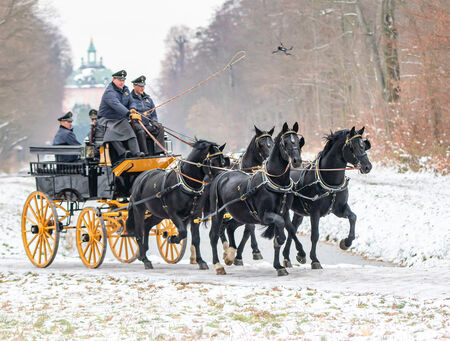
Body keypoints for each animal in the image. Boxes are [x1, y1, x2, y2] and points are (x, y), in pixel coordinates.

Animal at [125, 139, 227, 268]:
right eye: (213, 162)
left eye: (223, 161)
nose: (221, 178)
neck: (187, 184)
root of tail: (140, 178)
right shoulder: (173, 213)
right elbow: (183, 232)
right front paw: (172, 238)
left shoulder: (196, 215)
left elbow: (196, 239)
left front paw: (200, 261)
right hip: (139, 209)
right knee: (139, 233)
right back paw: (145, 259)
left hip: (158, 213)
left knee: (146, 225)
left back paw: (143, 252)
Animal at [209, 123, 304, 276]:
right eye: (285, 143)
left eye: (298, 141)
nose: (297, 161)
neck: (276, 182)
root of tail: (220, 174)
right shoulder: (265, 215)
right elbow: (279, 232)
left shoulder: (284, 213)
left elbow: (290, 230)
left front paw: (285, 262)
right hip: (218, 213)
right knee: (214, 236)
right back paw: (218, 265)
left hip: (240, 214)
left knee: (229, 227)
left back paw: (230, 253)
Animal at [282, 125, 372, 268]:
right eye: (352, 147)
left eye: (363, 145)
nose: (367, 166)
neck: (330, 181)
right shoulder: (315, 212)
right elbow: (315, 235)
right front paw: (315, 260)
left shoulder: (339, 209)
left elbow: (353, 217)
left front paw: (346, 242)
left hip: (299, 212)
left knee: (293, 229)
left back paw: (288, 257)